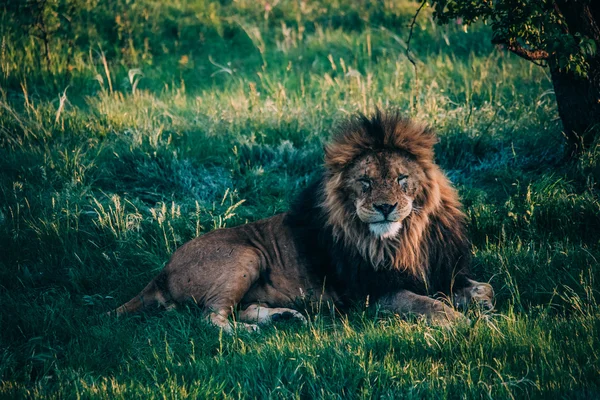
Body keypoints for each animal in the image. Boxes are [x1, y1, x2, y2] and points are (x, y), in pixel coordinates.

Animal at [113, 111, 492, 332]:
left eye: (401, 179)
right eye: (365, 182)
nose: (385, 207)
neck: (403, 240)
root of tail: (162, 271)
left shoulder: (440, 269)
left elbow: (482, 287)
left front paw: (482, 304)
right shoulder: (371, 293)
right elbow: (425, 303)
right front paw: (461, 322)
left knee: (239, 309)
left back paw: (281, 316)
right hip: (246, 255)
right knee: (210, 318)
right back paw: (247, 332)